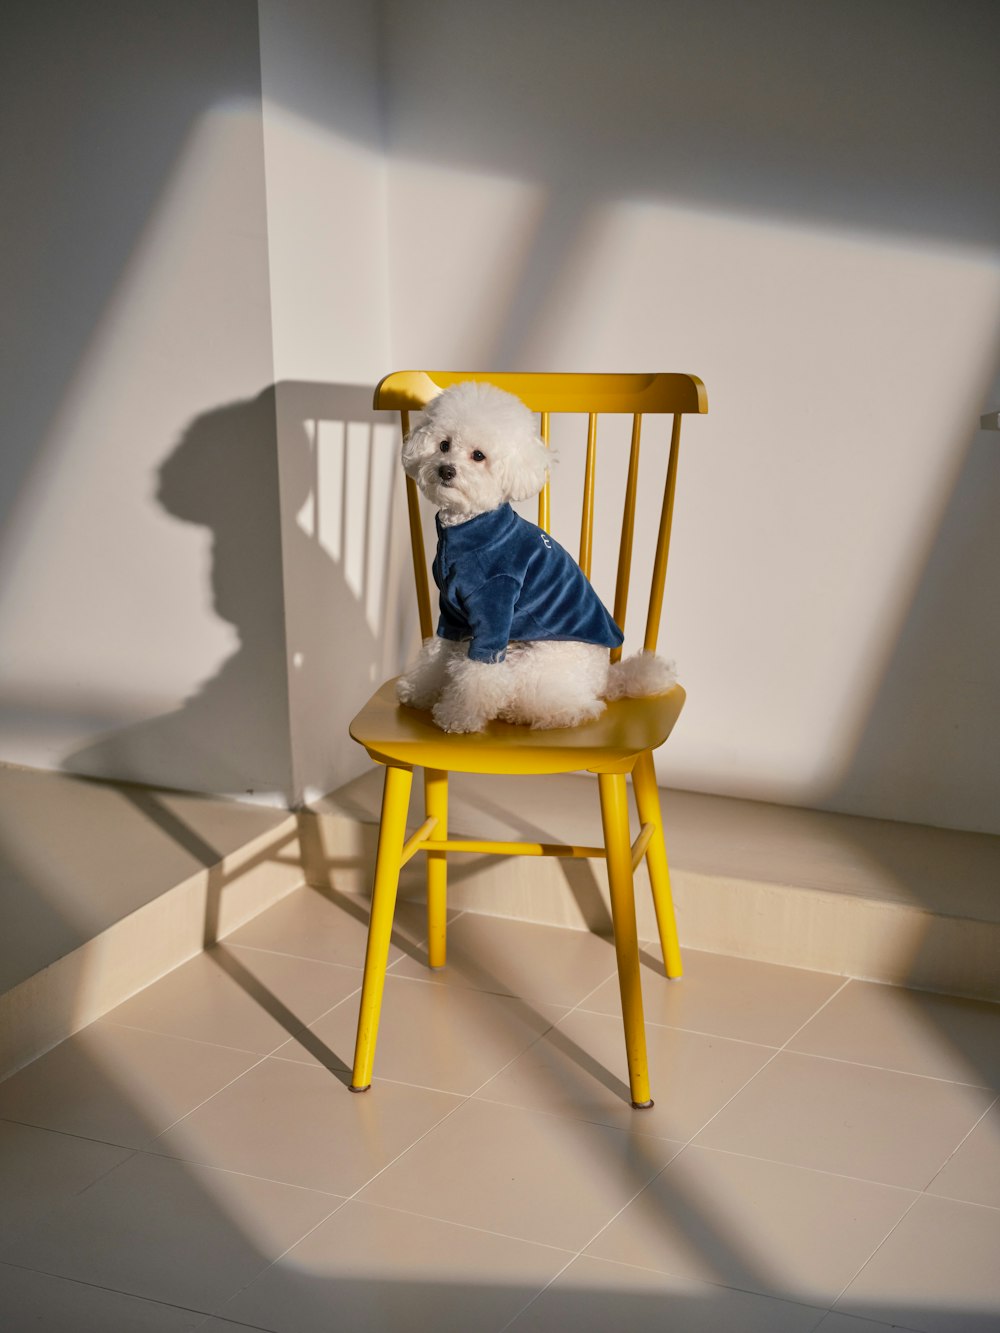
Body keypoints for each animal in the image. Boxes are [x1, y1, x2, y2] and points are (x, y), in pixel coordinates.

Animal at [394, 381, 677, 735]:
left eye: (478, 456)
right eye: (443, 445)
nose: (446, 470)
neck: (470, 529)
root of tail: (607, 679)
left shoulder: (496, 606)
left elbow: (478, 675)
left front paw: (458, 715)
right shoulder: (452, 615)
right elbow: (437, 654)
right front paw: (420, 691)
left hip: (540, 661)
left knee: (578, 706)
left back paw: (531, 712)